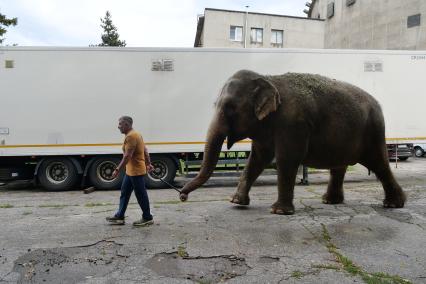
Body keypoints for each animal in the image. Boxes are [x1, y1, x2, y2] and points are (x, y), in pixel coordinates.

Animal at [179, 70, 406, 214]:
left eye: (230, 108)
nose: (182, 196)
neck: (268, 79)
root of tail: (378, 104)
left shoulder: (293, 124)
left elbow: (287, 159)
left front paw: (279, 211)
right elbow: (257, 159)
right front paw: (236, 202)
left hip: (373, 132)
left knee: (379, 164)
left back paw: (393, 205)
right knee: (339, 167)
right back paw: (329, 201)